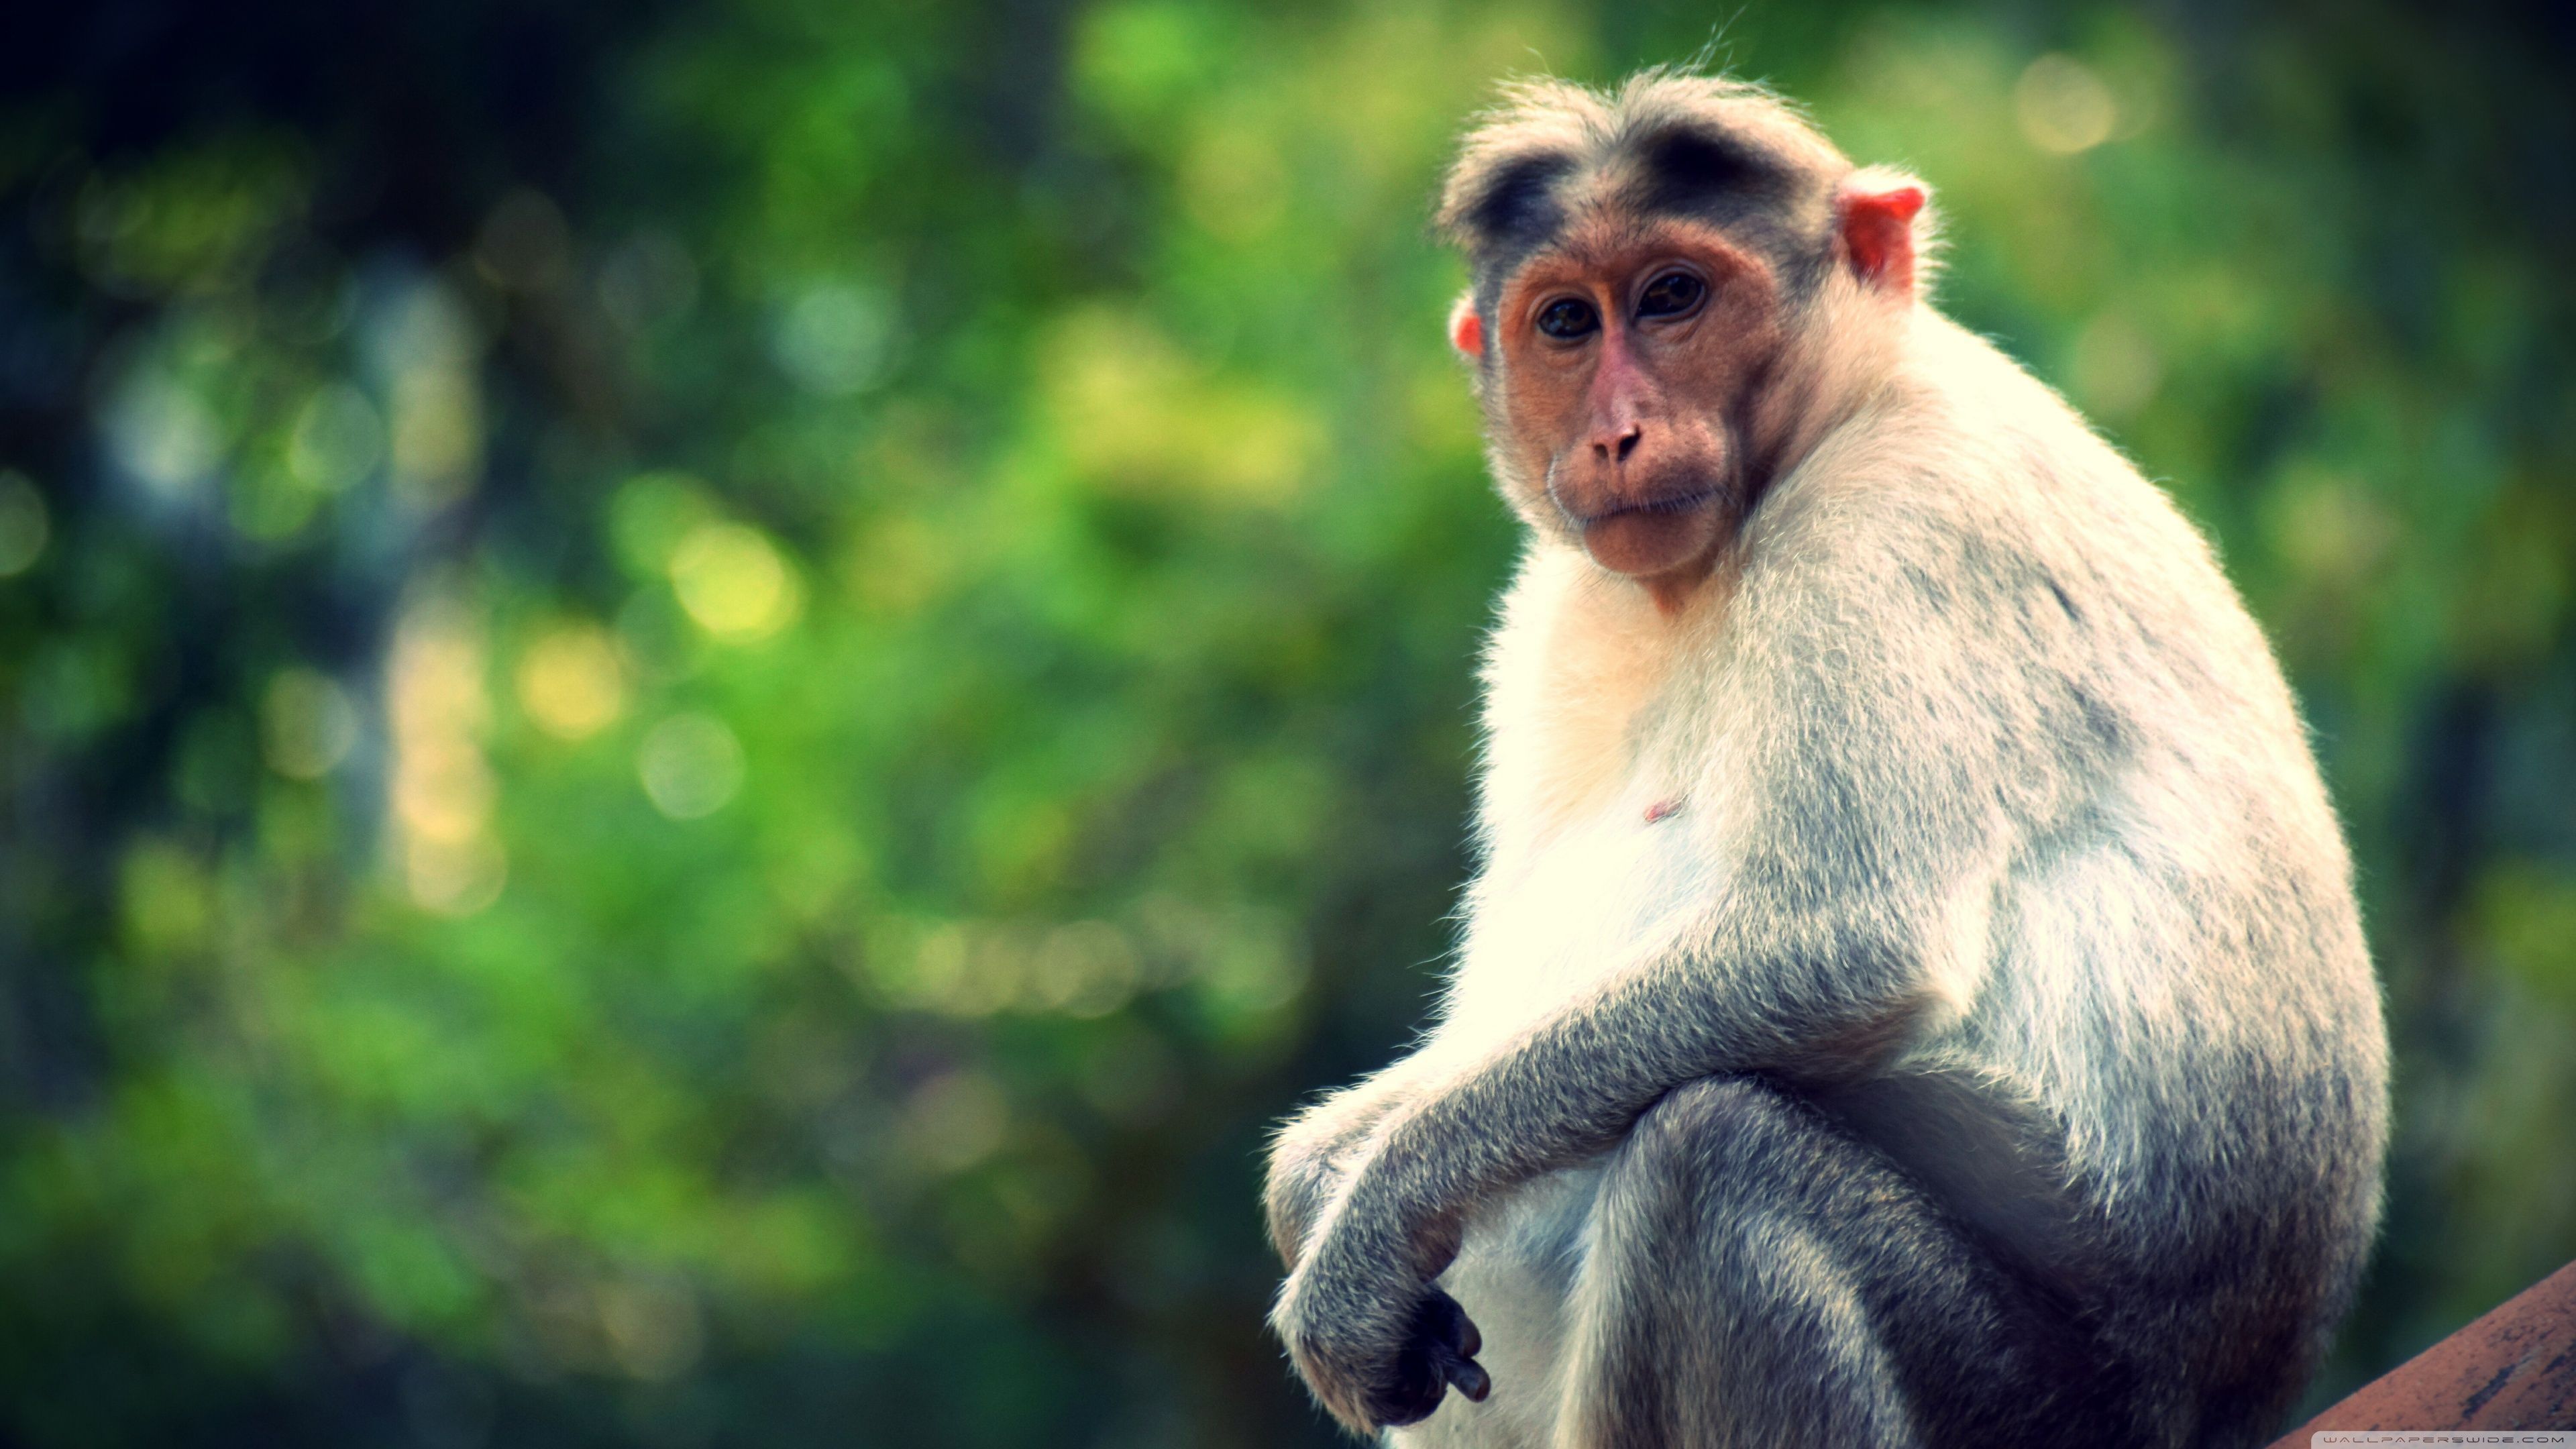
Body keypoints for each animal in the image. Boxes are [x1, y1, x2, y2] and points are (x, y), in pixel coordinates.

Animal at [1262, 71, 2388, 1449]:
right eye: (1568, 322)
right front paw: (1318, 1176)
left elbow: (1846, 941)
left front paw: (1370, 1219)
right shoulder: (1560, 610)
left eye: (1675, 297)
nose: (1618, 433)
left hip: (2029, 1391)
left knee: (1714, 1157)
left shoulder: (1890, 526)